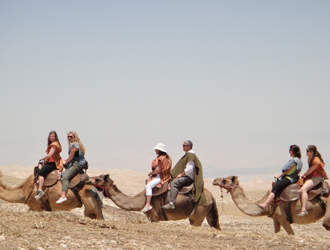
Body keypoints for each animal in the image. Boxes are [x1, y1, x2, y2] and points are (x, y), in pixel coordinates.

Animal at [89, 174, 220, 230]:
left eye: (99, 178)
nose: (88, 179)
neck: (141, 200)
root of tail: (211, 196)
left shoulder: (155, 217)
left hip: (198, 212)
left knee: (194, 220)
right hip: (208, 212)